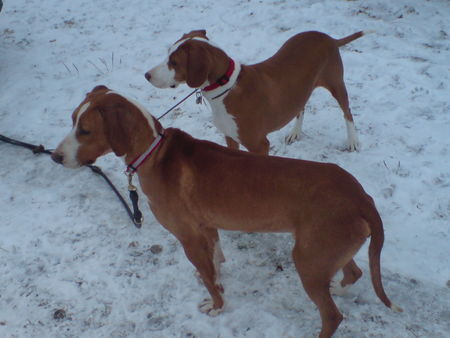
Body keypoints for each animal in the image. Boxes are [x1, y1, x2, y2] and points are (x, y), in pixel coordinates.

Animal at [51, 86, 402, 338]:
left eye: (85, 130)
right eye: (71, 121)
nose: (55, 157)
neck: (154, 152)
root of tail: (362, 197)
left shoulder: (188, 237)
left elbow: (208, 278)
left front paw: (217, 306)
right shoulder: (207, 226)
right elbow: (215, 262)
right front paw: (218, 278)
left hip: (308, 259)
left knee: (332, 316)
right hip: (322, 251)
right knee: (353, 273)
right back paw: (340, 288)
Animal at [146, 29, 364, 154]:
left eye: (174, 62)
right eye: (167, 55)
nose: (146, 75)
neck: (226, 89)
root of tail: (329, 38)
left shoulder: (259, 144)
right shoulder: (230, 137)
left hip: (336, 82)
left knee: (347, 112)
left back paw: (353, 141)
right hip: (302, 88)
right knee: (300, 107)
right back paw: (295, 132)